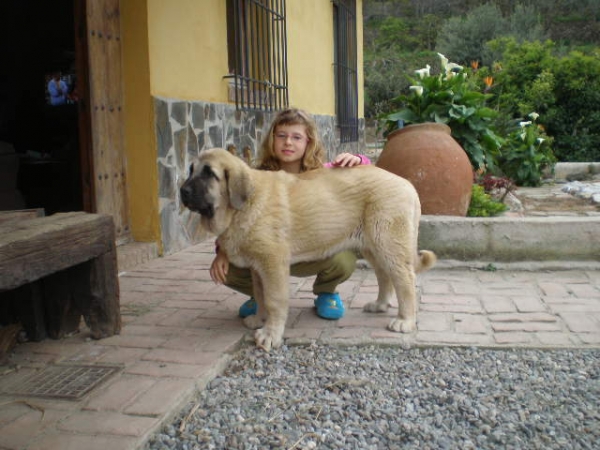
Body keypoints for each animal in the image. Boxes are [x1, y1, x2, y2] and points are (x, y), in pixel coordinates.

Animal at [179, 149, 436, 352]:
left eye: (209, 173)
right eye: (191, 170)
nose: (182, 191)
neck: (242, 207)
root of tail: (407, 184)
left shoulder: (272, 264)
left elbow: (273, 300)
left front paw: (270, 334)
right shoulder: (257, 267)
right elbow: (260, 295)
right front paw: (260, 319)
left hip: (388, 243)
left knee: (405, 280)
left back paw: (405, 320)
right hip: (373, 246)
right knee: (385, 276)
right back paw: (380, 305)